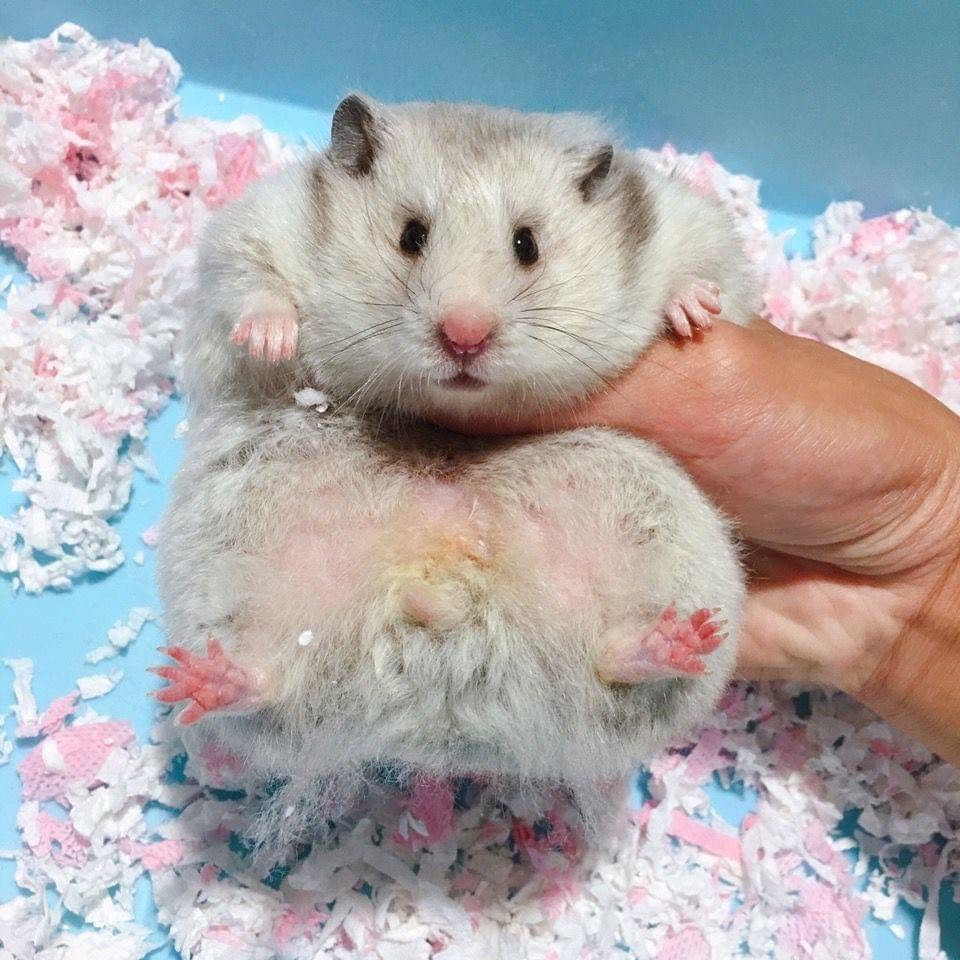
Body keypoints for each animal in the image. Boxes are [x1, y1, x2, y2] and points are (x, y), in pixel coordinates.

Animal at [156, 95, 759, 843]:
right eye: (411, 235)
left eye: (527, 244)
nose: (464, 337)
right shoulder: (254, 229)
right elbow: (253, 284)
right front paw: (272, 337)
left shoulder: (693, 230)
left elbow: (711, 277)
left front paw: (692, 313)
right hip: (225, 570)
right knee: (268, 679)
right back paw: (202, 679)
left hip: (675, 543)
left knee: (621, 671)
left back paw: (673, 639)